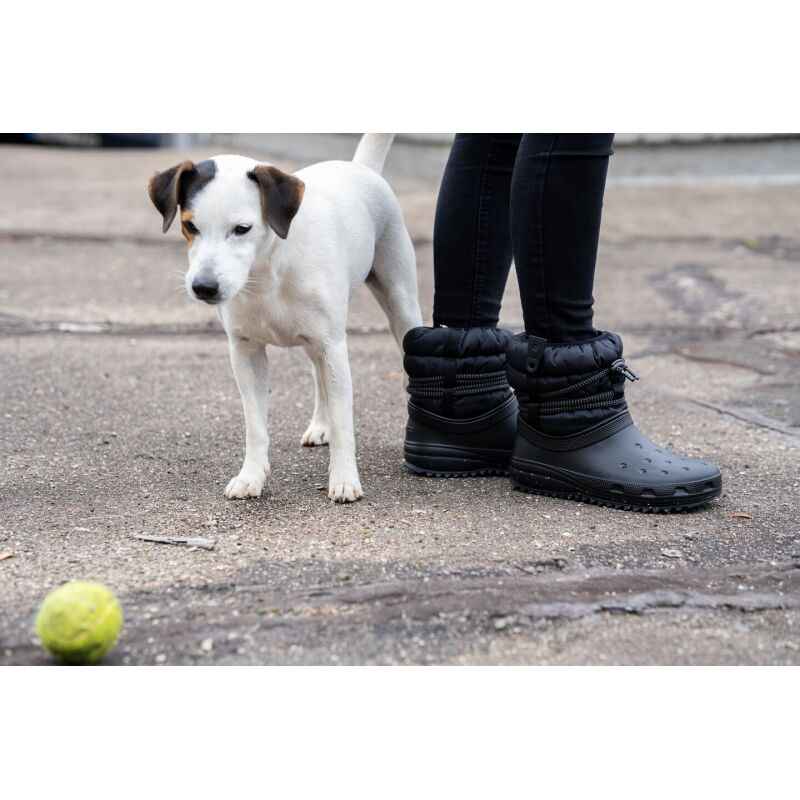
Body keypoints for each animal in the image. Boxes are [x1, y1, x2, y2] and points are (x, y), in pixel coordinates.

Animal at [149, 134, 424, 504]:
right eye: (189, 225)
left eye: (242, 229)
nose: (203, 287)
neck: (266, 272)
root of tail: (360, 167)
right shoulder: (246, 351)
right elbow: (255, 426)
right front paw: (251, 476)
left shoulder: (333, 346)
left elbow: (344, 424)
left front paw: (344, 479)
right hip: (312, 341)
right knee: (318, 377)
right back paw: (319, 425)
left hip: (400, 303)